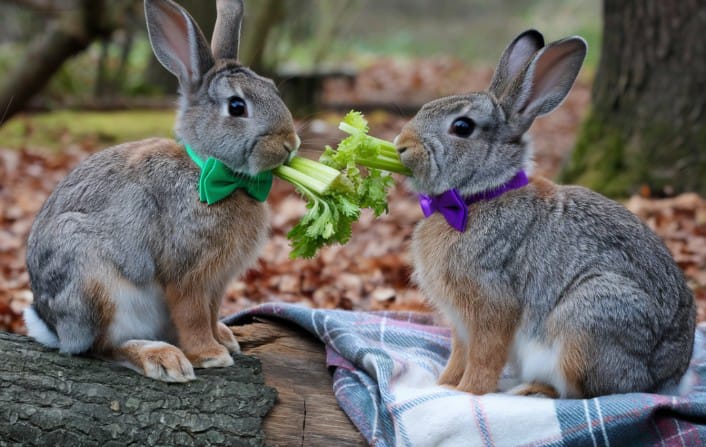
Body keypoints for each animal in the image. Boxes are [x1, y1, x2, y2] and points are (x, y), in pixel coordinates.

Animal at [23, 0, 298, 384]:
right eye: (237, 106)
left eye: (272, 88)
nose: (290, 144)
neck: (208, 169)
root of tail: (52, 326)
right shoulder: (188, 274)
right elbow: (193, 314)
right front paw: (211, 355)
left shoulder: (217, 282)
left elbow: (212, 312)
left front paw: (222, 341)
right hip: (95, 287)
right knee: (101, 347)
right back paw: (162, 359)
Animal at [394, 29, 696, 398]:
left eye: (462, 127)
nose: (400, 146)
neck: (479, 195)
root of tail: (670, 379)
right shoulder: (459, 323)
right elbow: (458, 354)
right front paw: (444, 384)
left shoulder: (491, 305)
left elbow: (484, 357)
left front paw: (466, 393)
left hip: (589, 320)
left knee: (585, 391)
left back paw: (528, 391)